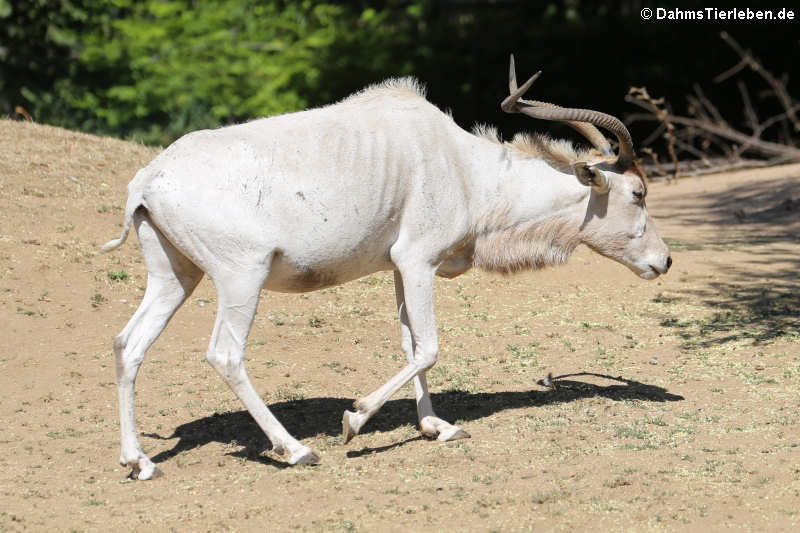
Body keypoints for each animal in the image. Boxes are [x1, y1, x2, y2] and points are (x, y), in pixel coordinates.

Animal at [104, 57, 668, 478]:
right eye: (638, 193)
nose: (663, 260)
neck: (467, 169)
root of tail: (147, 181)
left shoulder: (400, 266)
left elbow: (411, 345)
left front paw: (437, 427)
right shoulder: (419, 260)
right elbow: (431, 347)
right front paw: (355, 420)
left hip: (175, 276)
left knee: (129, 343)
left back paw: (140, 462)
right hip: (242, 275)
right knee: (225, 354)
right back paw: (296, 450)